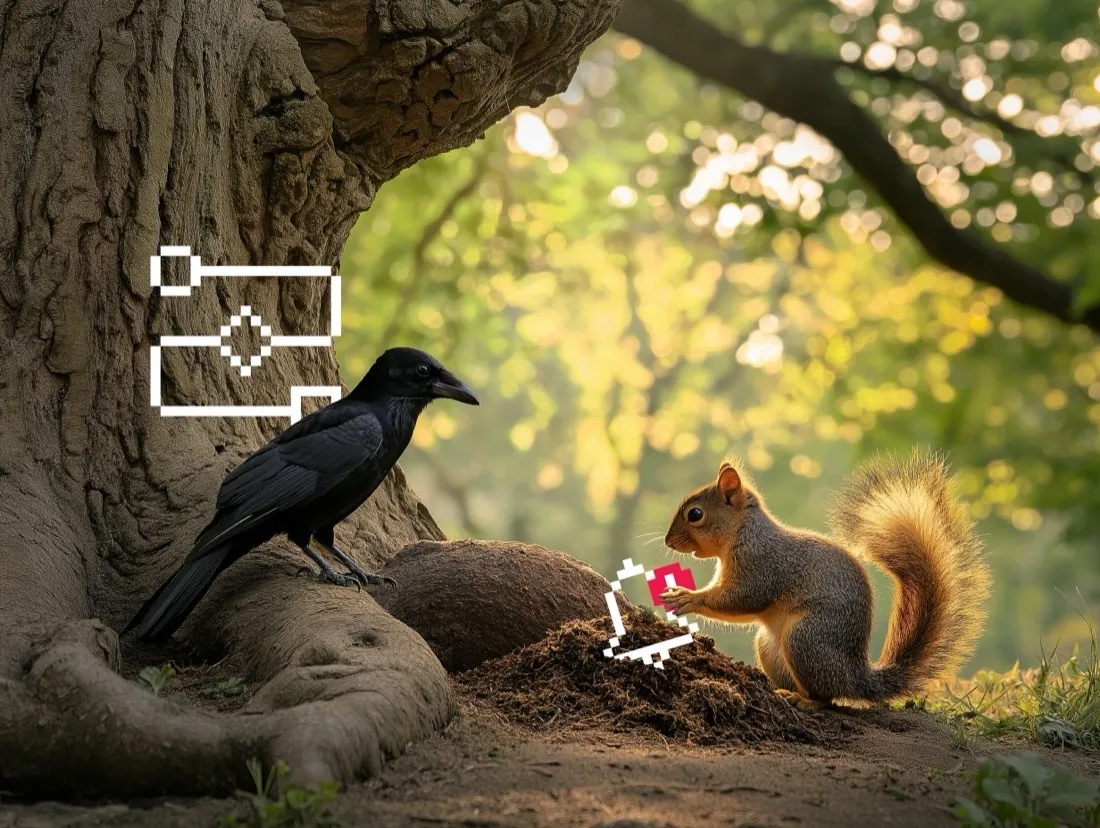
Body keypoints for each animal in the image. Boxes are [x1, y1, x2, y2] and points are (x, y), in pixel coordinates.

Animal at [660, 451, 991, 706]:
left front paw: (687, 596)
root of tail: (855, 677)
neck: (743, 532)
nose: (667, 542)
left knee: (826, 699)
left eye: (695, 514)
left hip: (806, 638)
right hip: (771, 645)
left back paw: (803, 701)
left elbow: (743, 599)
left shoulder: (762, 565)